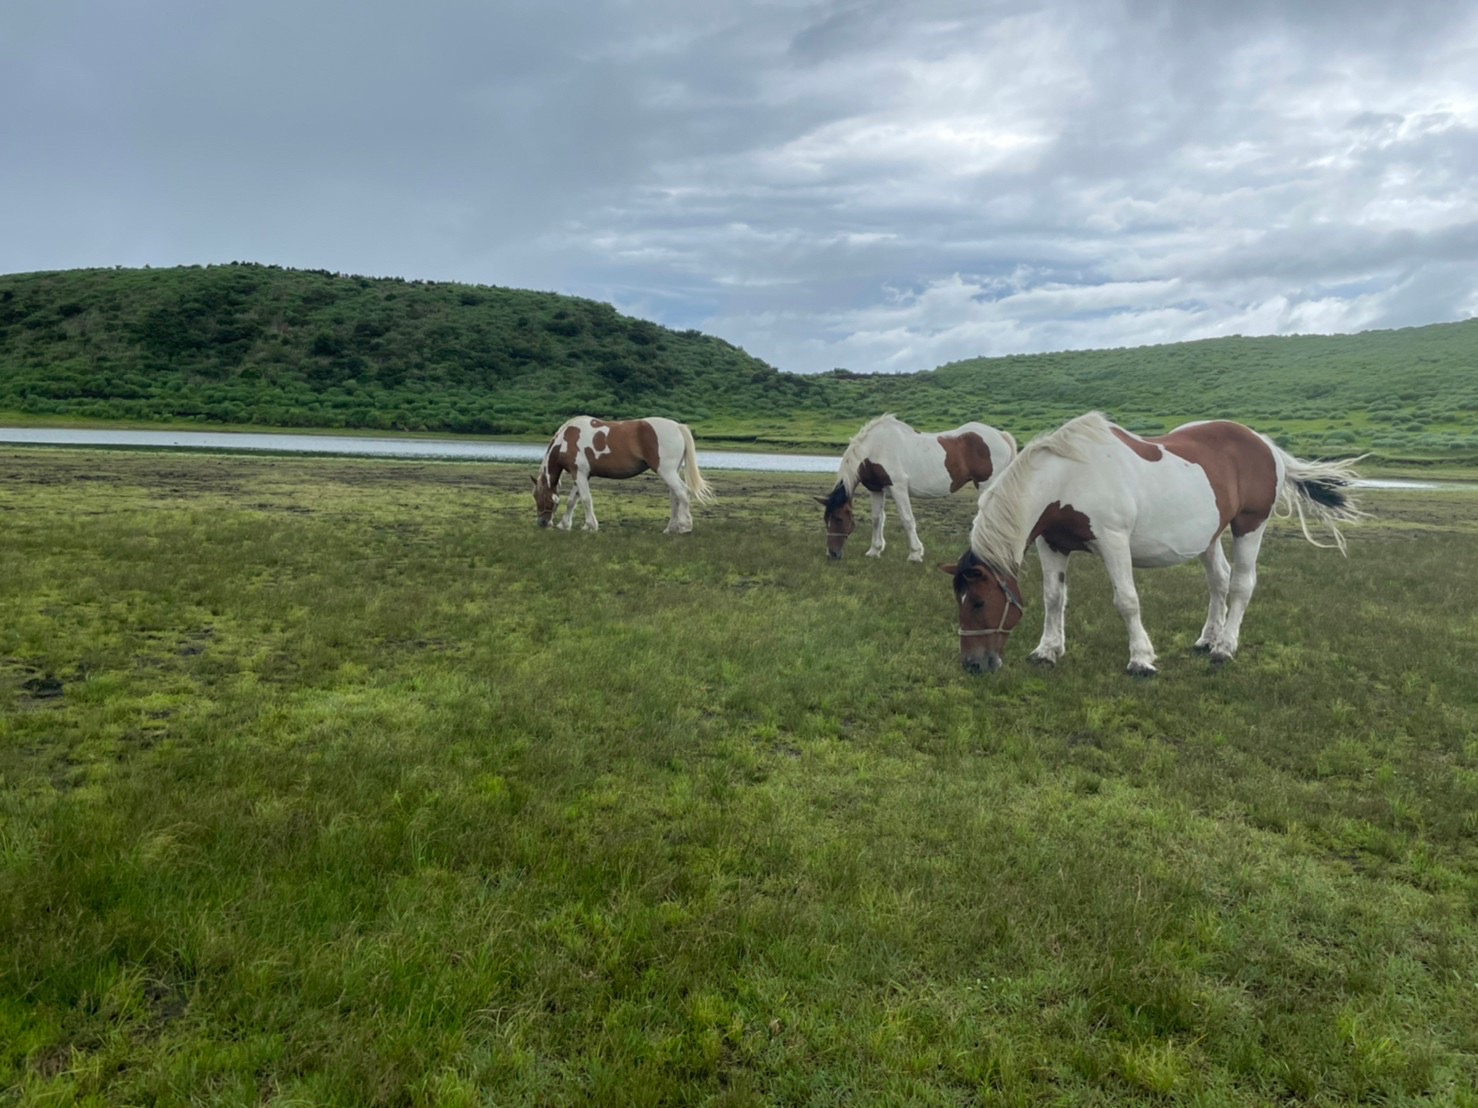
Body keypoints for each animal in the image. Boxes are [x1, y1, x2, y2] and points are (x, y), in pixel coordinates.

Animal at [532, 419, 715, 534]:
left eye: (538, 496)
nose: (541, 523)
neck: (566, 440)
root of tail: (677, 427)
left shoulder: (579, 473)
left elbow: (585, 499)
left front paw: (591, 526)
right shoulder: (582, 474)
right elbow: (572, 500)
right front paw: (565, 525)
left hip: (667, 471)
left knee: (683, 493)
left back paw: (684, 527)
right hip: (671, 472)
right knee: (675, 497)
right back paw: (671, 528)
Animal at [821, 416, 1016, 564]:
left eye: (838, 518)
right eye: (826, 519)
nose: (832, 554)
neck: (875, 448)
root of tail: (1001, 435)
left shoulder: (898, 488)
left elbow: (907, 520)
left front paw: (915, 554)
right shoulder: (876, 490)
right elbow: (877, 519)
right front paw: (874, 551)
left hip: (986, 486)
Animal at [940, 413, 1365, 676]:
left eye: (978, 602)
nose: (973, 665)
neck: (1069, 477)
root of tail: (1263, 443)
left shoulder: (1113, 540)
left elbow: (1127, 600)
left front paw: (1141, 659)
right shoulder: (1052, 544)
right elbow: (1053, 598)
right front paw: (1047, 651)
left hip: (1249, 525)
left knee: (1242, 584)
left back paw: (1225, 648)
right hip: (1210, 536)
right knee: (1219, 581)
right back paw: (1207, 639)